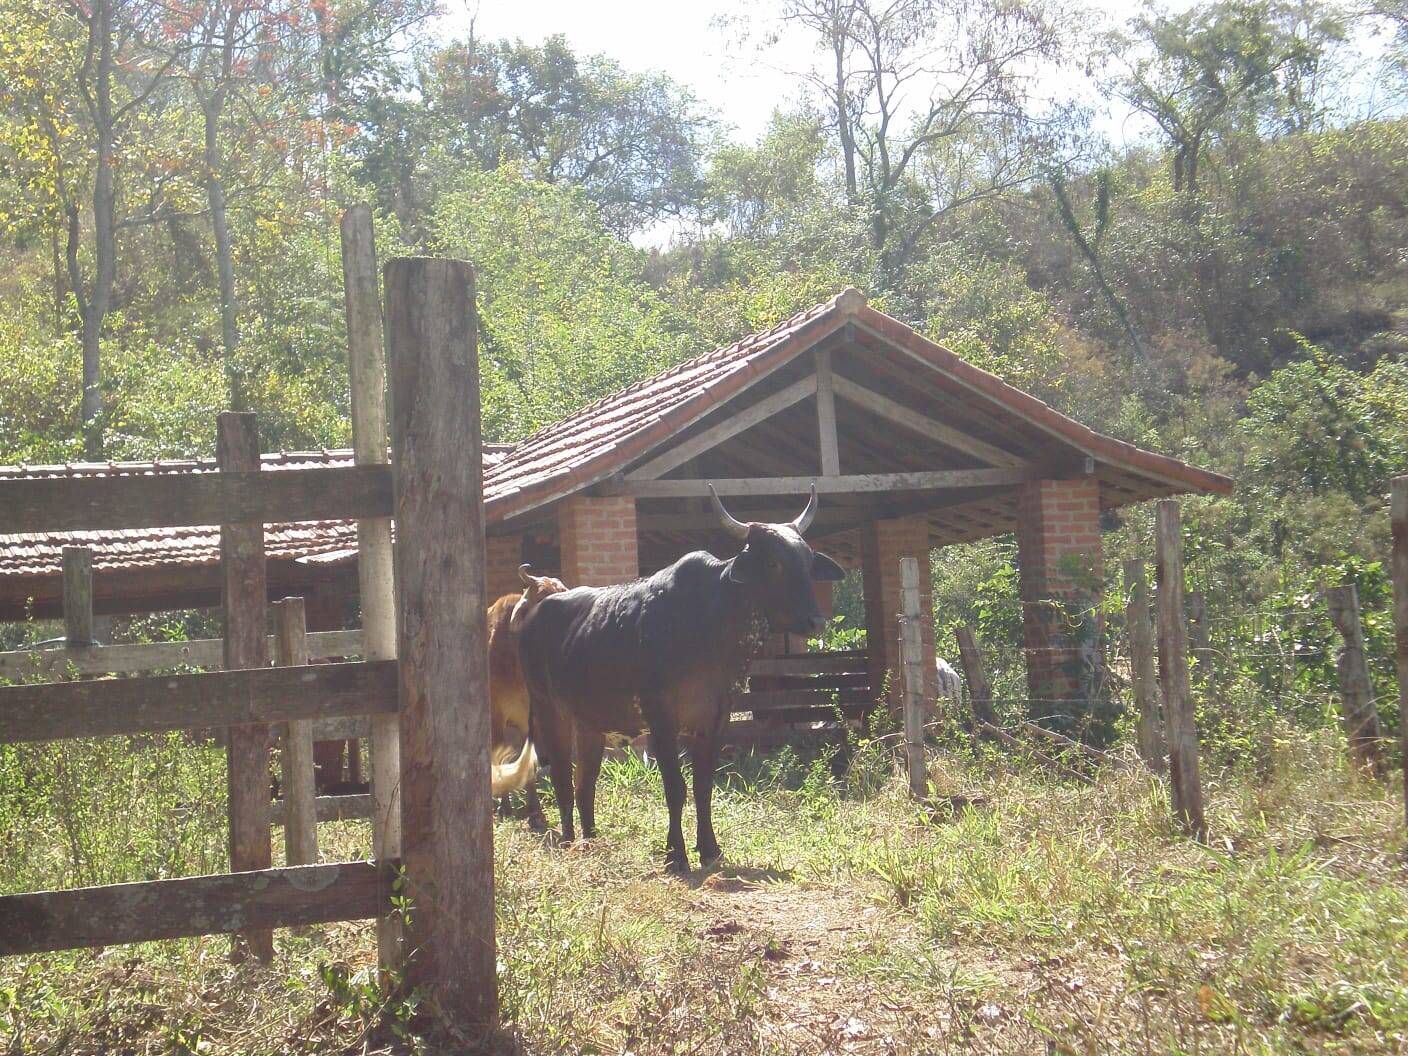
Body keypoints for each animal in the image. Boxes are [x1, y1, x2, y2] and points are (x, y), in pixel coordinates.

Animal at [523, 484, 839, 872]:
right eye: (774, 563)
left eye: (808, 562)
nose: (816, 621)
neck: (709, 624)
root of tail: (536, 612)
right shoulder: (661, 721)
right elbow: (676, 788)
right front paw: (675, 854)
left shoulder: (713, 720)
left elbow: (703, 787)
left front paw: (709, 849)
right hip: (547, 710)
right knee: (562, 777)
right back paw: (569, 840)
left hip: (589, 723)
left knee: (585, 784)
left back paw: (591, 840)